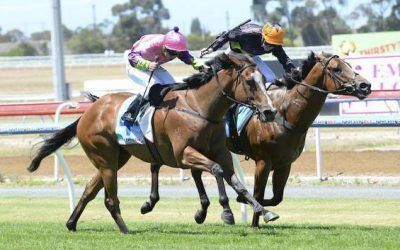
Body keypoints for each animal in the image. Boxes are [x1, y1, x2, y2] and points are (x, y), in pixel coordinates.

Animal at [28, 53, 280, 234]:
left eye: (263, 80)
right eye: (249, 81)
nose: (269, 111)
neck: (200, 108)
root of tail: (88, 112)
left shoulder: (220, 152)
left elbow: (236, 181)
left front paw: (264, 211)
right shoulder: (183, 153)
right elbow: (217, 171)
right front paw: (226, 212)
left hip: (116, 158)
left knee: (90, 190)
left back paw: (72, 223)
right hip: (105, 157)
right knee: (110, 199)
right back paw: (125, 230)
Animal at [141, 51, 372, 227]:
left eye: (348, 64)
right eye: (336, 68)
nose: (365, 85)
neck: (285, 114)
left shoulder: (284, 164)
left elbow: (276, 198)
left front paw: (246, 204)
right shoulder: (263, 161)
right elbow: (259, 193)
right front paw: (254, 221)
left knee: (184, 169)